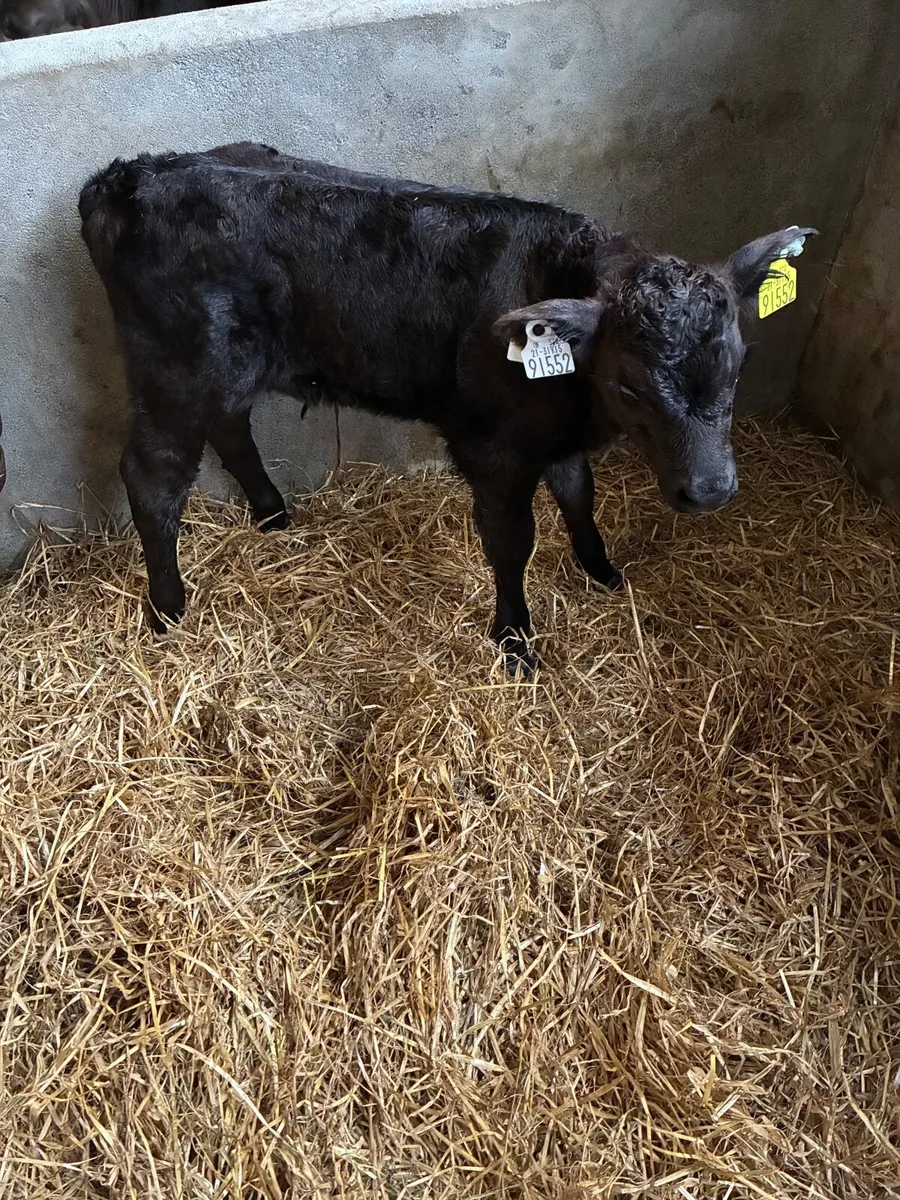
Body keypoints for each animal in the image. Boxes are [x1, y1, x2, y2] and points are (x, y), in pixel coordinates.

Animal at [78, 142, 815, 672]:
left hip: (227, 368)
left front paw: (603, 572)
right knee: (154, 476)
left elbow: (580, 495)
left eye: (738, 363)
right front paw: (515, 643)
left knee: (231, 427)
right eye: (631, 386)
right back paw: (169, 609)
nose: (710, 490)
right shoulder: (493, 448)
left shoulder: (550, 435)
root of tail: (131, 178)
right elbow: (513, 541)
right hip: (176, 368)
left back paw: (273, 516)